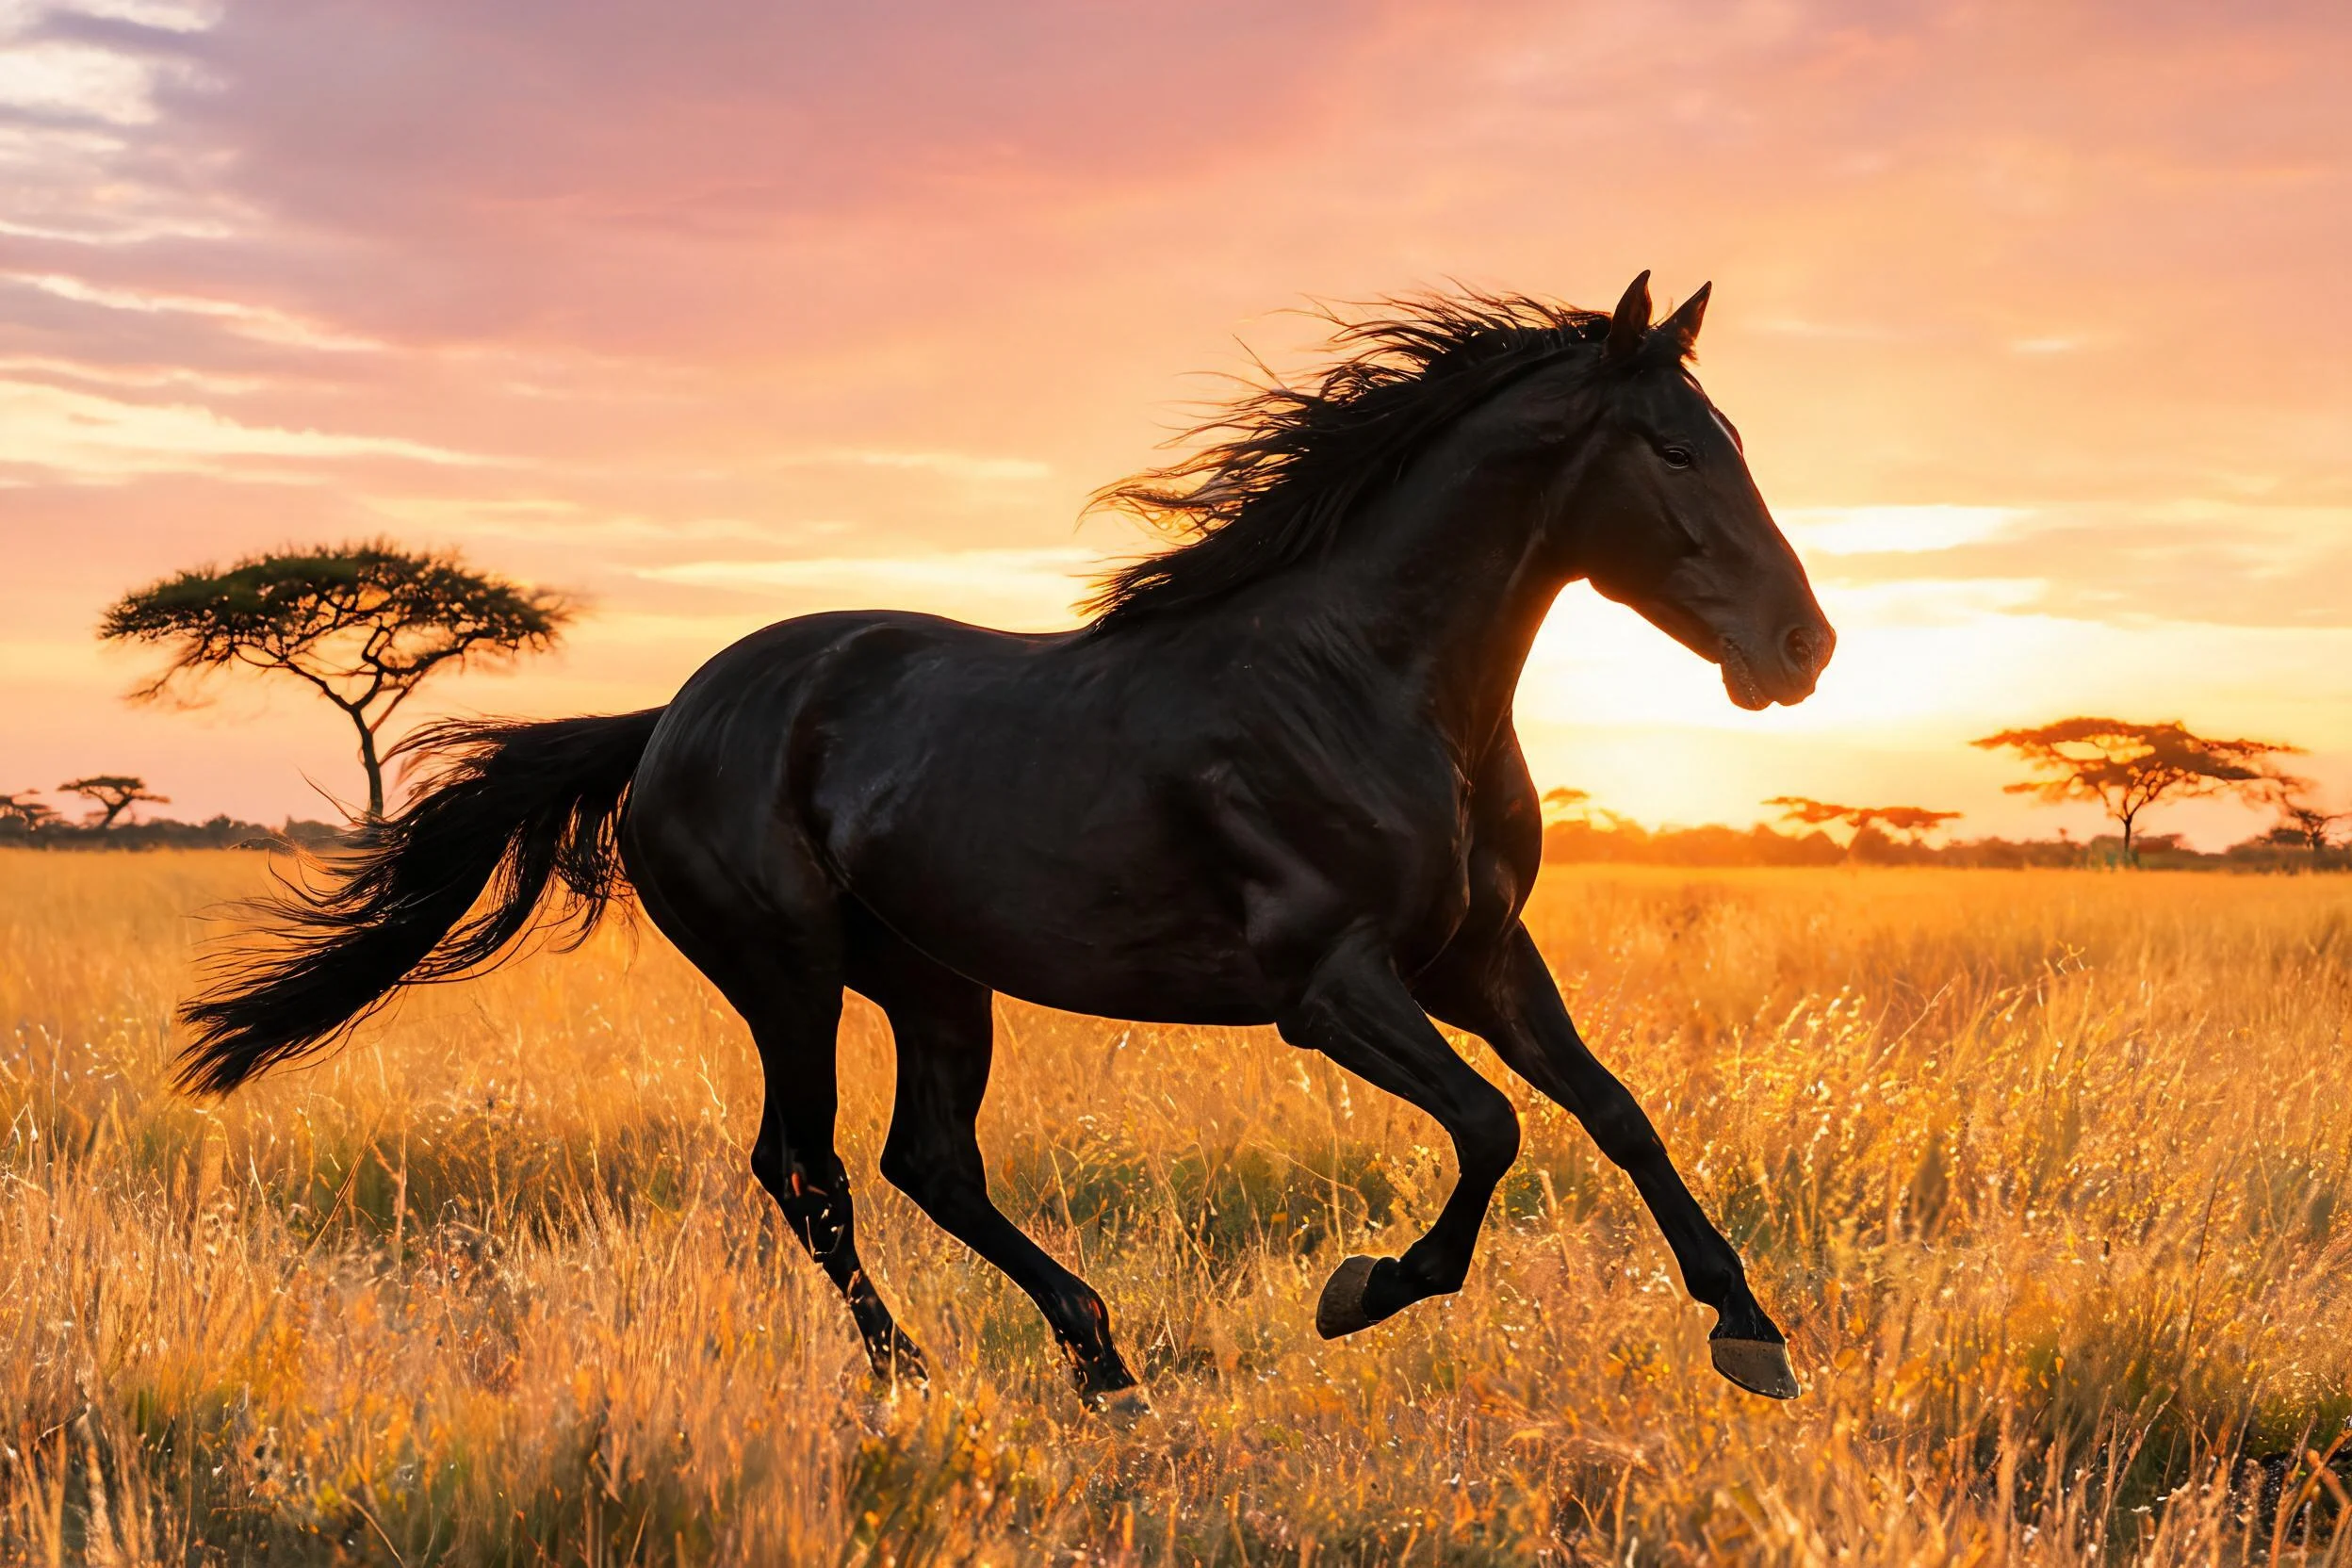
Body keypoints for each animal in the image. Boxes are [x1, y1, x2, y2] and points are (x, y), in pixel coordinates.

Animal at [176, 272, 1835, 1416]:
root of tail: (669, 721)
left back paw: (1102, 1361)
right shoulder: (1332, 988)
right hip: (788, 975)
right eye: (1677, 451)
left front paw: (1749, 1332)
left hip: (934, 982)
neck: (1363, 683)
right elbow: (1494, 1128)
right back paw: (912, 1372)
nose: (1803, 650)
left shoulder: (1481, 958)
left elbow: (1617, 1113)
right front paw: (1363, 1292)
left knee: (926, 1160)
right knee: (807, 1168)